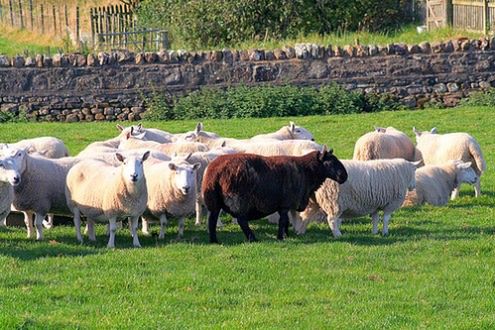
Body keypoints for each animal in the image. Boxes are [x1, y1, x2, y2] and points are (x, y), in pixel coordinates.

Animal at [202, 148, 348, 244]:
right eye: (330, 162)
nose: (344, 176)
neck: (307, 171)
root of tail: (214, 172)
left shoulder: (285, 204)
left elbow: (287, 220)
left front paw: (286, 234)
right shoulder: (285, 203)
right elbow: (283, 220)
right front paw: (280, 237)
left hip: (214, 201)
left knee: (212, 220)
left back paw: (214, 240)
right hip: (238, 199)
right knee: (242, 221)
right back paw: (252, 238)